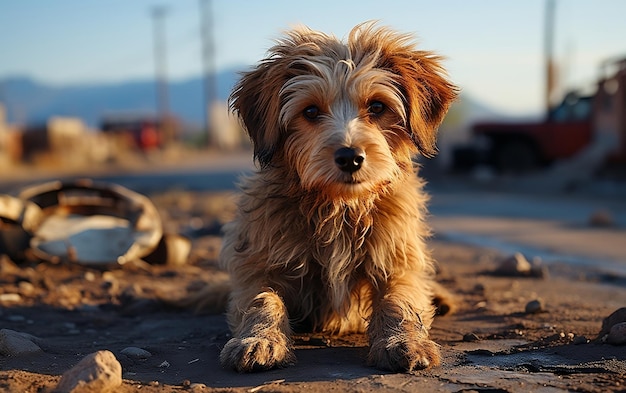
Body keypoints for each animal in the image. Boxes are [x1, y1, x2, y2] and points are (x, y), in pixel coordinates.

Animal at [217, 20, 456, 370]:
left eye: (377, 106)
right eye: (311, 111)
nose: (350, 157)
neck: (340, 206)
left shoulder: (398, 259)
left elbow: (399, 299)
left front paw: (405, 341)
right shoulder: (256, 264)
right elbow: (263, 300)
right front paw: (259, 339)